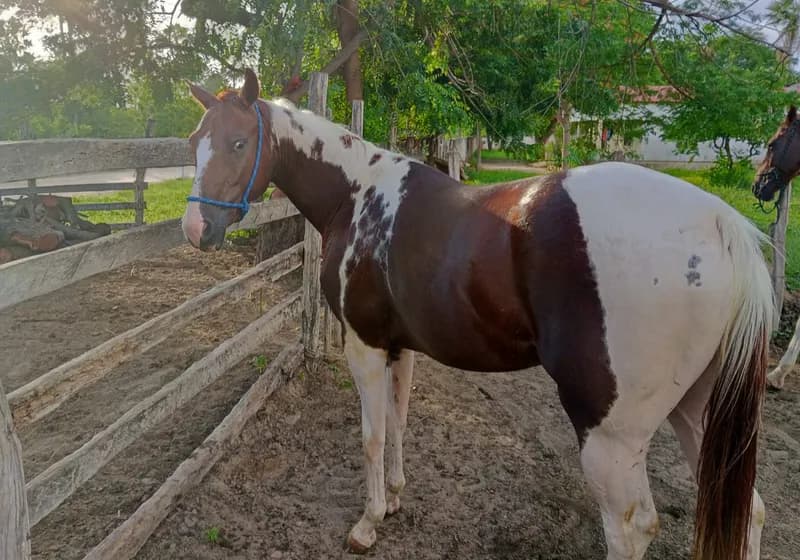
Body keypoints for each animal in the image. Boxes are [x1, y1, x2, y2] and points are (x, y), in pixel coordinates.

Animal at [181, 68, 774, 560]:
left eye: (239, 142)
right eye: (193, 143)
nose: (196, 230)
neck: (356, 196)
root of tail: (720, 225)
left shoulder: (365, 345)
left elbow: (372, 435)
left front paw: (368, 523)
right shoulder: (399, 348)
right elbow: (398, 421)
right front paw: (394, 499)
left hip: (612, 435)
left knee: (631, 528)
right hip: (696, 412)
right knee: (750, 514)